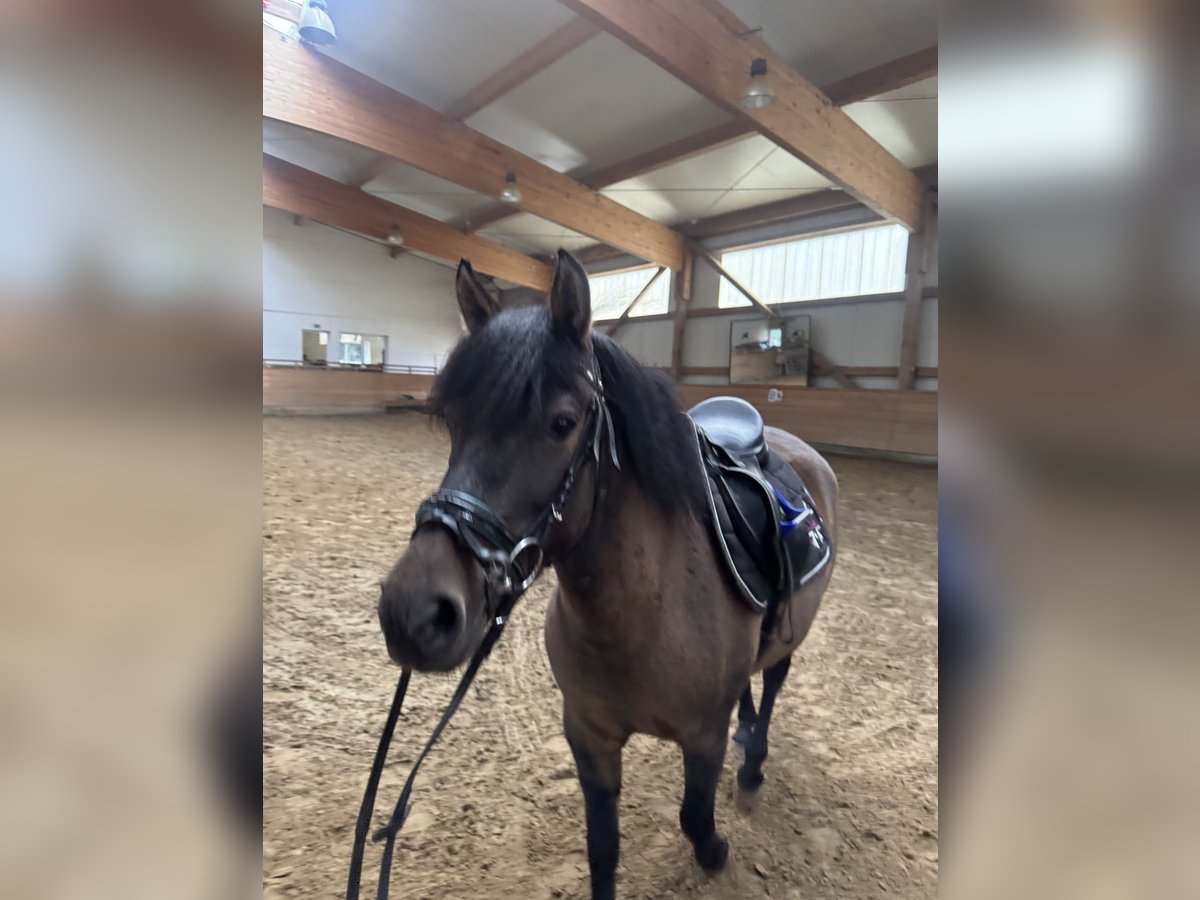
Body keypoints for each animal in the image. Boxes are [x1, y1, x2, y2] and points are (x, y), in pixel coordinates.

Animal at [377, 249, 837, 899]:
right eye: (452, 422)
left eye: (562, 423)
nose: (414, 613)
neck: (642, 613)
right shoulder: (589, 739)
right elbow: (602, 850)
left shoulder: (702, 738)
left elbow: (694, 819)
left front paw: (717, 850)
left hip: (795, 628)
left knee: (772, 678)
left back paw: (752, 767)